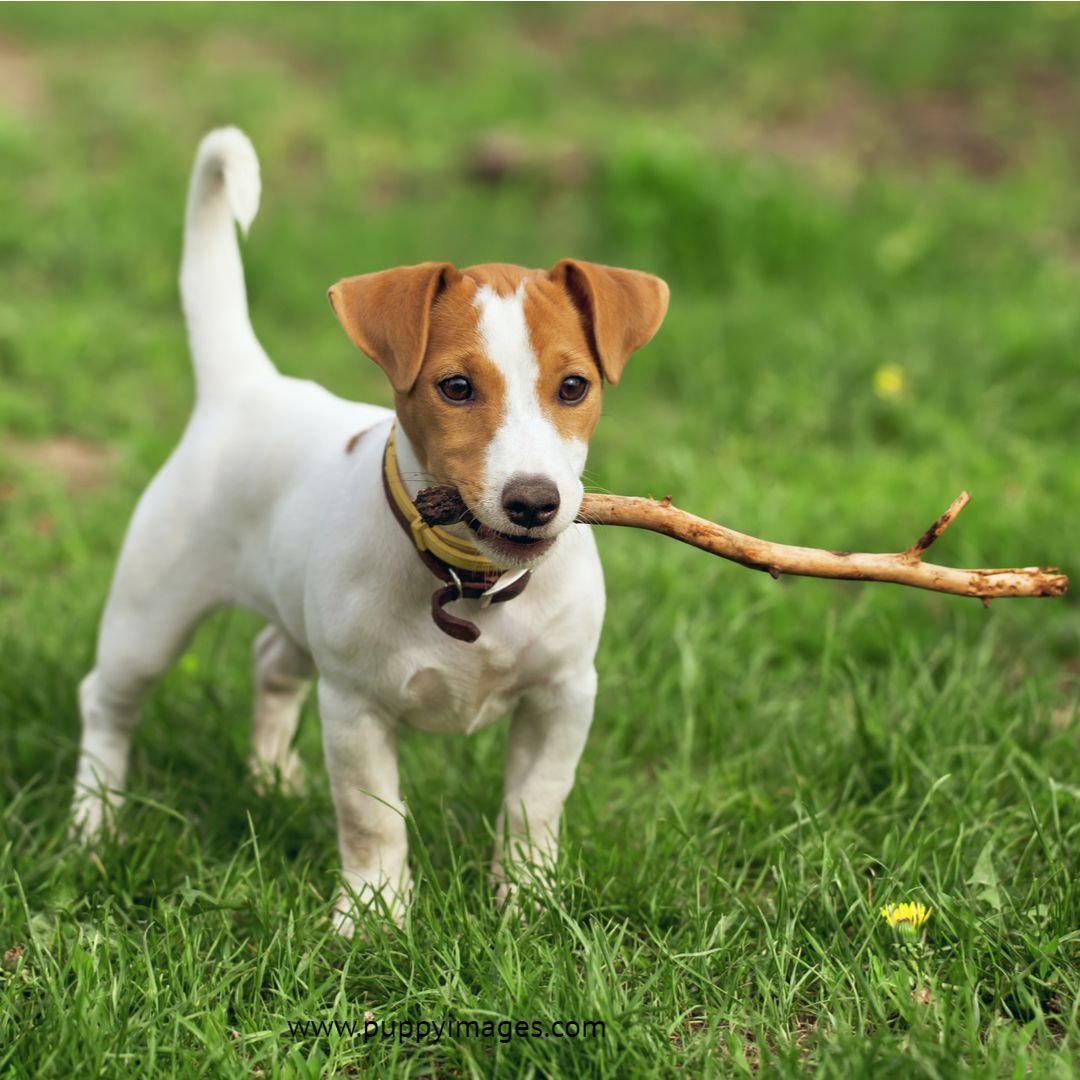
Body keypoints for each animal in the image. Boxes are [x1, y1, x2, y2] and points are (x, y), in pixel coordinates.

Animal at [69, 126, 665, 933]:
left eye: (574, 387)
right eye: (456, 387)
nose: (534, 501)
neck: (471, 582)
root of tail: (247, 385)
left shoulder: (564, 694)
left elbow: (535, 804)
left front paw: (528, 897)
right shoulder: (354, 707)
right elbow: (372, 815)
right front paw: (376, 913)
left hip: (291, 617)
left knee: (269, 662)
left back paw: (268, 778)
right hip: (150, 614)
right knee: (106, 700)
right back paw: (93, 821)